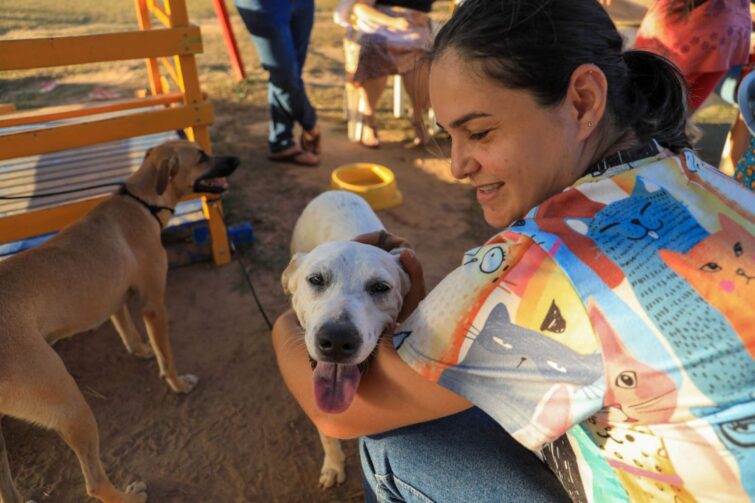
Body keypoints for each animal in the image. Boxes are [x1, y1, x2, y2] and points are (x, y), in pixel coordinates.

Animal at [0, 141, 239, 503]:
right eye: (201, 156)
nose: (236, 160)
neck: (142, 202)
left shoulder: (114, 299)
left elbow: (127, 330)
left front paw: (140, 350)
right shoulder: (154, 306)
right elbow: (166, 356)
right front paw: (178, 384)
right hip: (73, 408)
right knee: (94, 483)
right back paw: (131, 496)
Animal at [284, 189, 414, 488]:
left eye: (380, 287)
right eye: (316, 280)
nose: (336, 340)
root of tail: (335, 191)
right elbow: (326, 430)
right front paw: (333, 466)